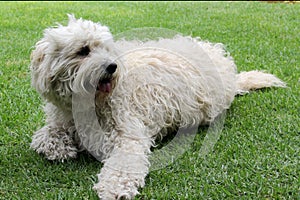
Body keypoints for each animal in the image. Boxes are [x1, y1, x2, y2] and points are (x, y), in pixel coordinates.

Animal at [29, 15, 286, 198]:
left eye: (107, 49)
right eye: (83, 50)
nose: (112, 66)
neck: (90, 104)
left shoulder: (128, 135)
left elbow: (124, 164)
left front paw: (114, 189)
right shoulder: (60, 118)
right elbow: (44, 136)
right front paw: (60, 148)